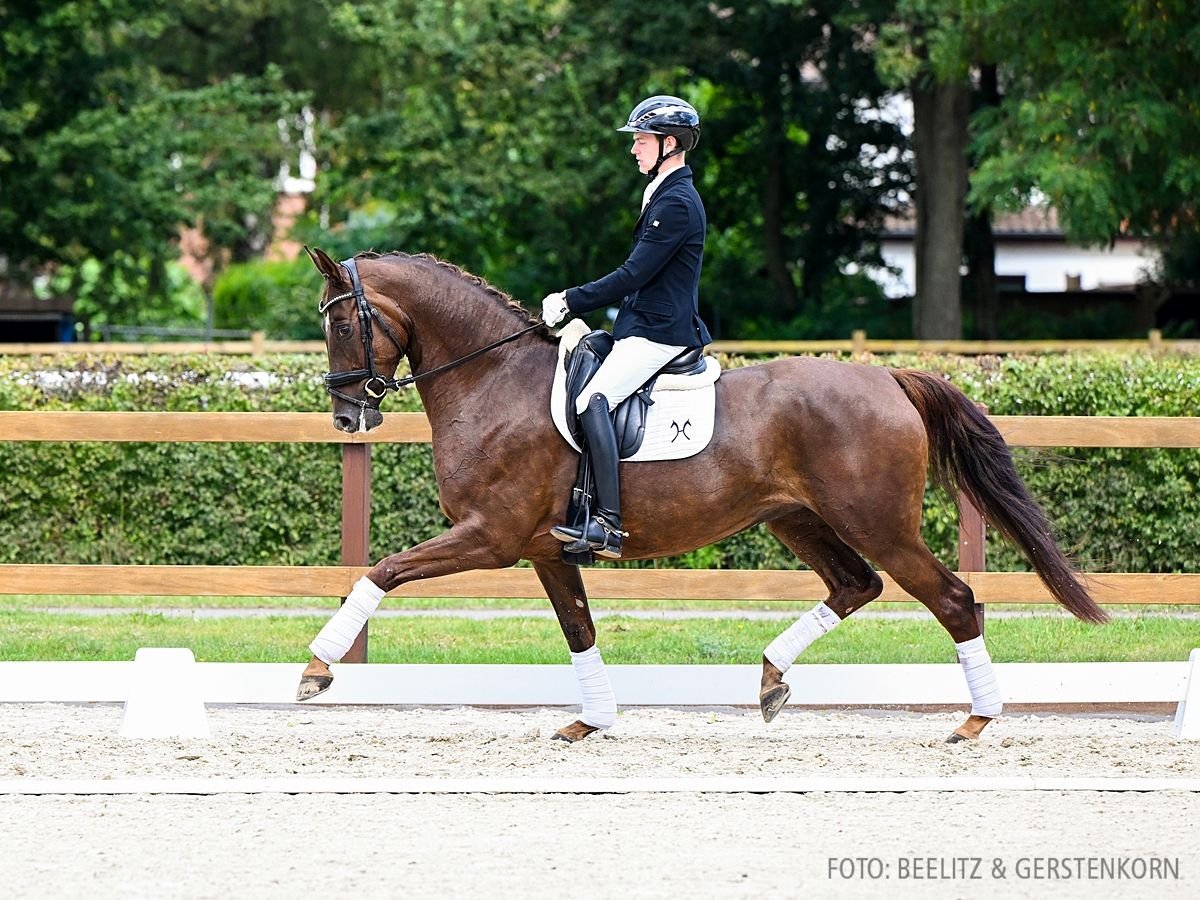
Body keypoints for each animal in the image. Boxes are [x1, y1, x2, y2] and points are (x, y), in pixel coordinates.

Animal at [297, 244, 1104, 739]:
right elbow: (580, 631)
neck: (491, 379)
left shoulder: (489, 537)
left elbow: (382, 571)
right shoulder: (544, 550)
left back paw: (976, 720)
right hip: (797, 519)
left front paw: (316, 670)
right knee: (856, 585)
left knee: (953, 599)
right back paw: (772, 679)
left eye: (341, 324)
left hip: (878, 522)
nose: (346, 417)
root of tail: (888, 378)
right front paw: (592, 722)